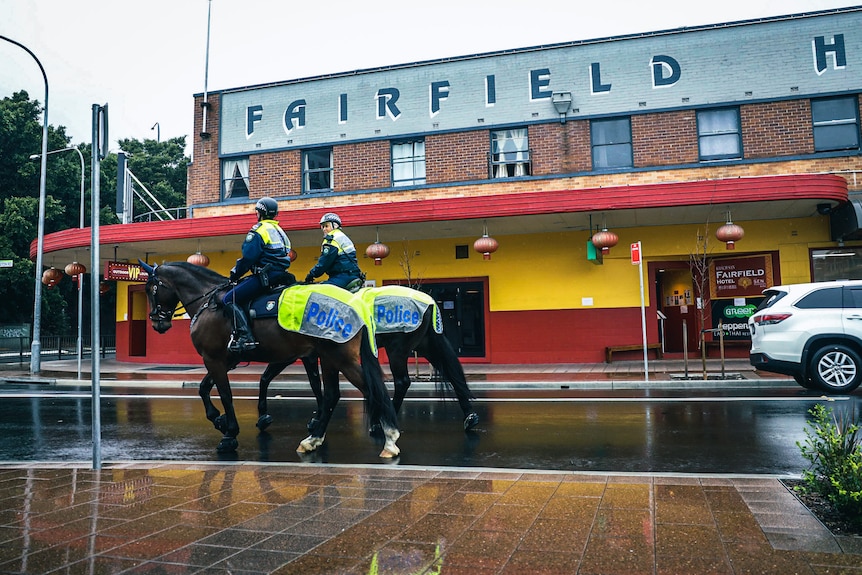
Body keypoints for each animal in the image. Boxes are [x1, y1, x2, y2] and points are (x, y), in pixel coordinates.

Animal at [139, 262, 402, 460]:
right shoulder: (226, 359)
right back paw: (313, 438)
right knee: (333, 395)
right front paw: (220, 420)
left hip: (342, 358)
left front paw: (229, 433)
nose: (157, 322)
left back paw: (388, 438)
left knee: (371, 390)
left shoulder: (214, 359)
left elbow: (225, 393)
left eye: (150, 288)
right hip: (329, 358)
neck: (209, 302)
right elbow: (205, 388)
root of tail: (356, 303)